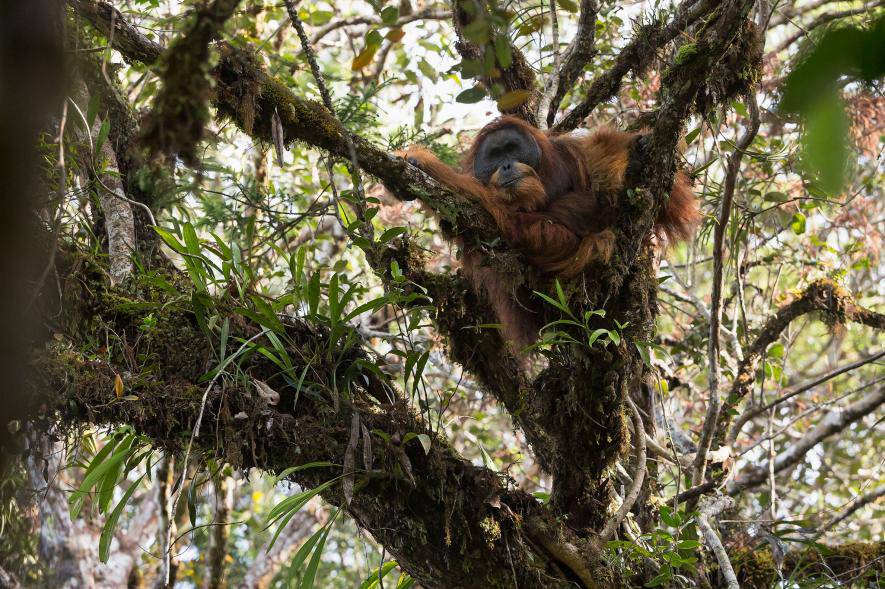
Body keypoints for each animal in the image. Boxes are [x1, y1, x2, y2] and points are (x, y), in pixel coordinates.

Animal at [396, 116, 700, 348]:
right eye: (495, 156)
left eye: (512, 149)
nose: (506, 165)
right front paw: (418, 163)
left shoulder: (571, 150)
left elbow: (669, 199)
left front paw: (636, 151)